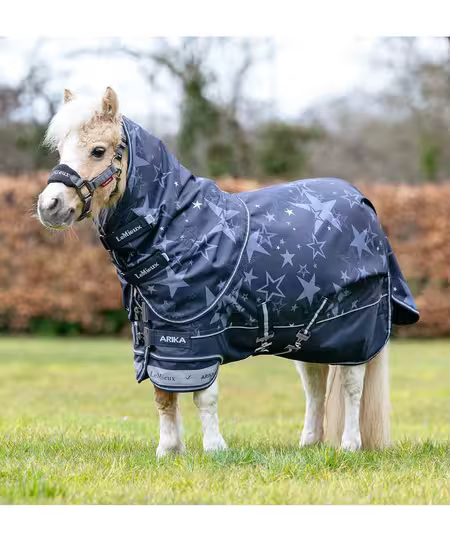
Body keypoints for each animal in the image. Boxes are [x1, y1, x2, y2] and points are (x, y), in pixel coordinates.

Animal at [36, 87, 419, 457]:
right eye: (60, 150)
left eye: (98, 150)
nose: (49, 206)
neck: (179, 229)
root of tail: (363, 203)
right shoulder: (159, 339)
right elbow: (163, 396)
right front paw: (168, 450)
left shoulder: (198, 337)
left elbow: (204, 396)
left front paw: (214, 448)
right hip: (309, 331)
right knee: (315, 382)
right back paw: (309, 443)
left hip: (354, 329)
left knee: (352, 385)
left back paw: (350, 445)